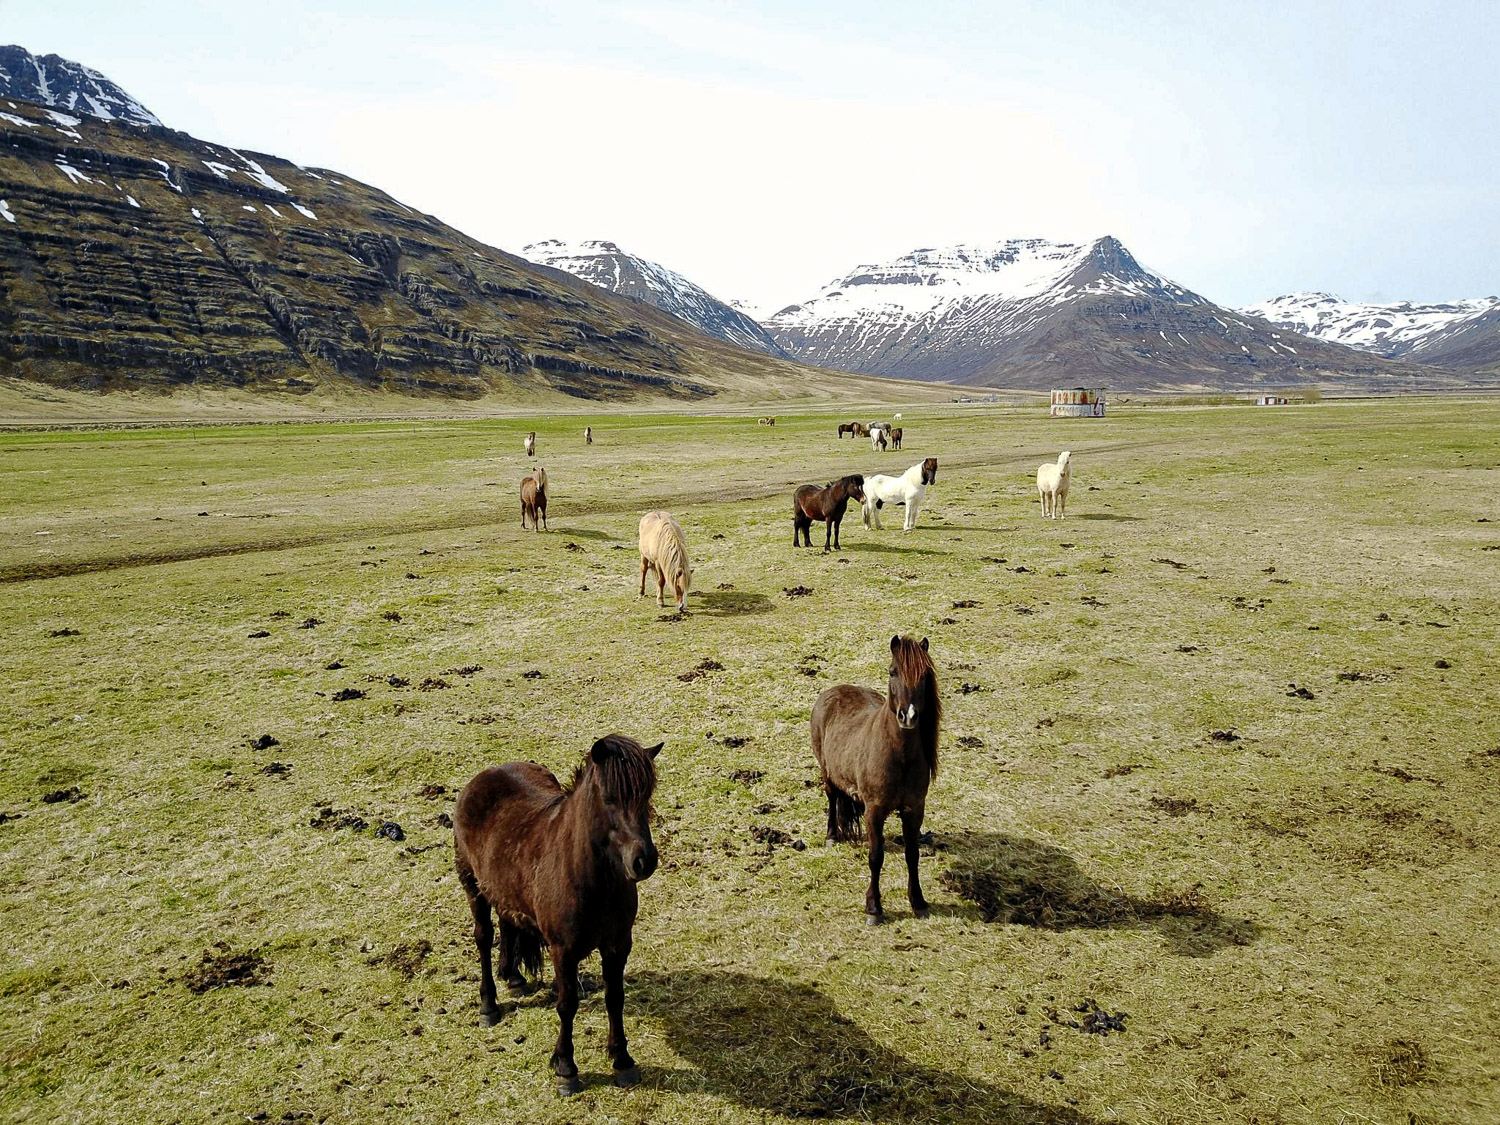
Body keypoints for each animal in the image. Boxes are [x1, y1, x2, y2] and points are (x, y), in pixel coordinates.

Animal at [450, 735, 663, 1098]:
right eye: (609, 798)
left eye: (646, 794)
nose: (643, 861)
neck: (590, 878)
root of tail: (484, 776)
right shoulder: (563, 951)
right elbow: (567, 1005)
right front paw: (566, 1068)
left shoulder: (618, 945)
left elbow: (615, 998)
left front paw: (622, 1061)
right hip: (472, 886)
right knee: (483, 938)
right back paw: (489, 1006)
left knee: (507, 921)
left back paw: (514, 977)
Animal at [810, 639, 936, 930]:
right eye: (892, 671)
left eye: (924, 676)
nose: (908, 716)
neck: (899, 755)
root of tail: (833, 691)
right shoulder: (874, 810)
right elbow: (875, 857)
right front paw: (874, 908)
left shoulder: (914, 809)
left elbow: (912, 854)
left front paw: (919, 902)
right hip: (827, 773)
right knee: (832, 798)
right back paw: (832, 836)